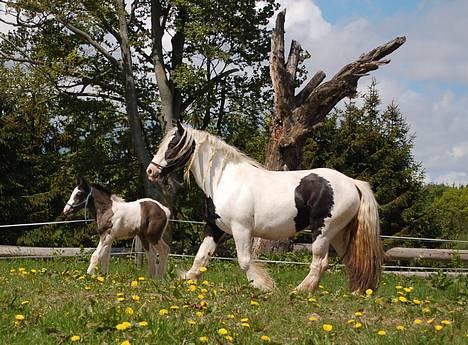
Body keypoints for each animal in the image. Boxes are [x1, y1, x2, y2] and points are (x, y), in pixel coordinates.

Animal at [147, 125, 384, 292]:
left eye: (172, 144)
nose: (151, 171)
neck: (224, 180)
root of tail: (352, 183)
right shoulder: (214, 228)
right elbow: (201, 257)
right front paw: (188, 279)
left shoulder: (241, 229)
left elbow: (244, 261)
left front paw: (263, 285)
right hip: (339, 234)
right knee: (352, 261)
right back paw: (356, 291)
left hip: (323, 232)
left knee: (320, 263)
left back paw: (300, 291)